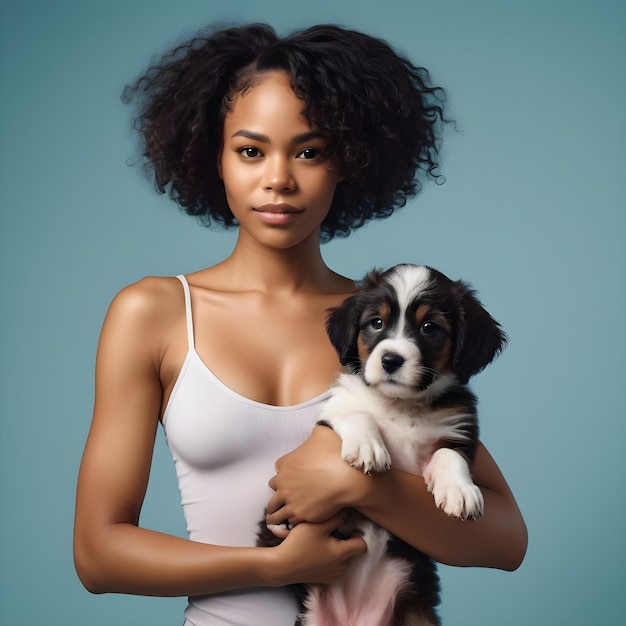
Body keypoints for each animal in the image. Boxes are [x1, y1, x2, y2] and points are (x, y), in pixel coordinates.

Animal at [256, 264, 504, 624]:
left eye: (430, 327)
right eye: (376, 323)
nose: (390, 360)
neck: (401, 405)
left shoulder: (459, 429)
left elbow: (449, 455)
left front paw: (460, 491)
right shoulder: (335, 412)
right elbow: (357, 412)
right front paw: (368, 448)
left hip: (417, 613)